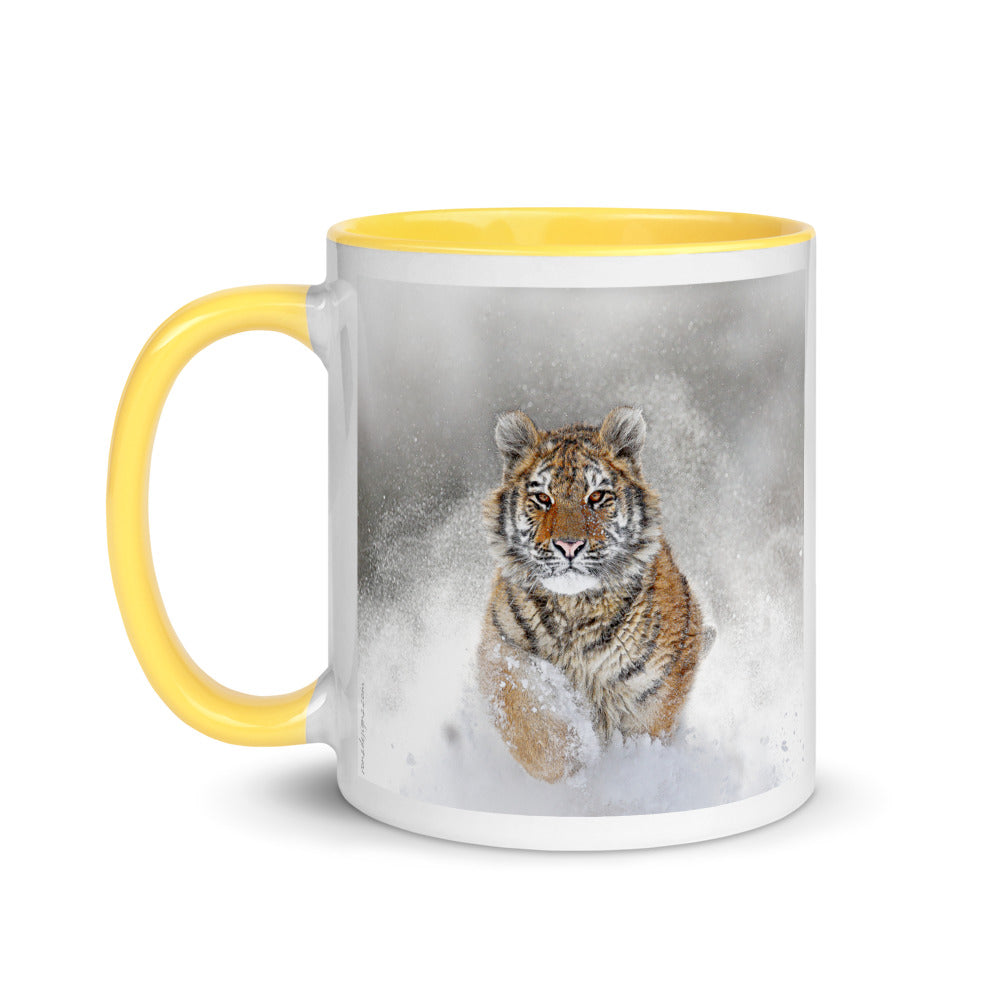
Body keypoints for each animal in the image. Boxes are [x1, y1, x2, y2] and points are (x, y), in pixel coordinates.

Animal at [477, 406, 715, 783]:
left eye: (597, 497)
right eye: (543, 498)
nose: (568, 545)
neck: (575, 608)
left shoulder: (655, 688)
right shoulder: (500, 650)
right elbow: (529, 716)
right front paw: (574, 754)